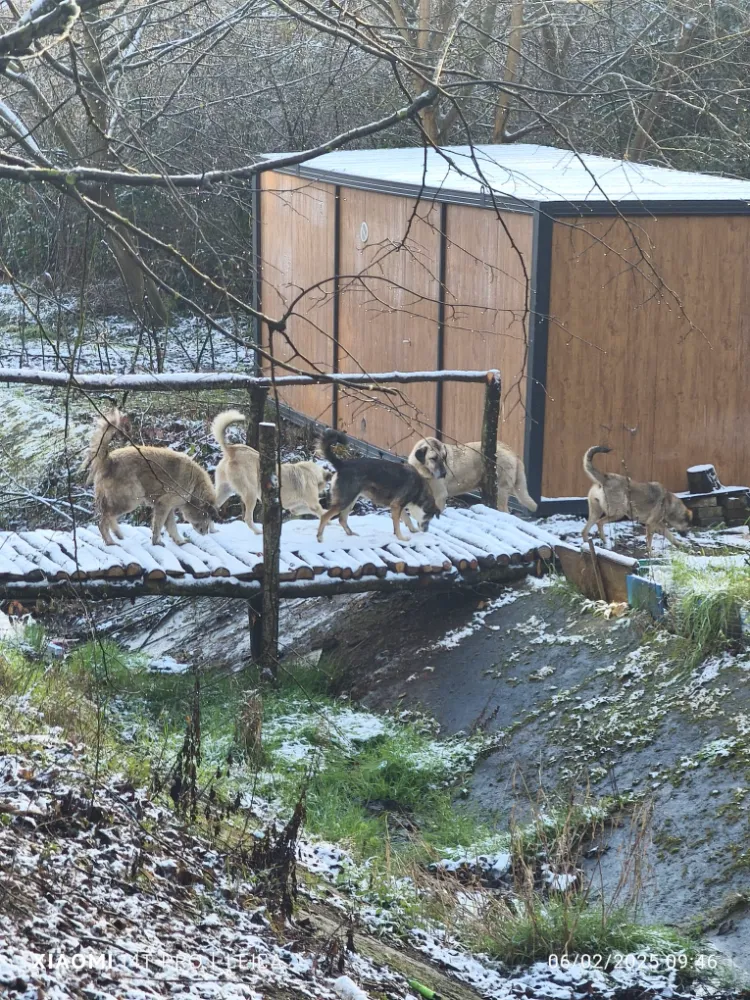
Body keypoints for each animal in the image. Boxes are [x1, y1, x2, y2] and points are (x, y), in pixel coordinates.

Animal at [82, 408, 217, 548]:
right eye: (207, 516)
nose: (206, 532)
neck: (195, 485)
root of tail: (108, 460)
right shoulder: (163, 505)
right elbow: (158, 526)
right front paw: (157, 542)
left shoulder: (168, 508)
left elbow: (171, 527)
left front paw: (179, 541)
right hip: (130, 500)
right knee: (103, 521)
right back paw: (110, 542)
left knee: (109, 518)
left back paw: (118, 535)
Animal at [408, 436, 536, 516]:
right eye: (433, 458)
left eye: (444, 458)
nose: (444, 473)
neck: (423, 470)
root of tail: (510, 450)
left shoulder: (440, 496)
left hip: (501, 491)